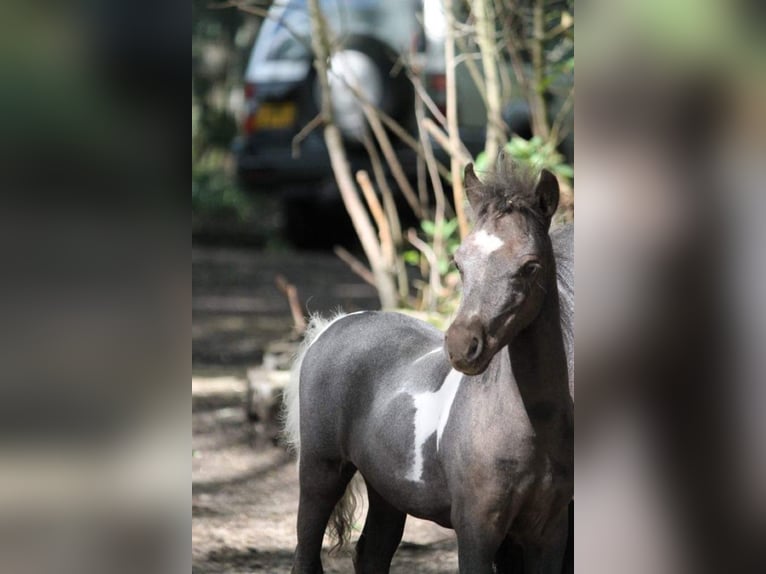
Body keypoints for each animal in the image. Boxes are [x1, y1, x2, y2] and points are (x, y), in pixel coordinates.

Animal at [284, 159, 572, 574]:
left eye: (530, 266)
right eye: (459, 262)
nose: (463, 346)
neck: (528, 429)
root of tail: (332, 326)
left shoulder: (547, 533)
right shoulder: (477, 529)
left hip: (386, 490)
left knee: (371, 553)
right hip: (321, 471)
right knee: (306, 552)